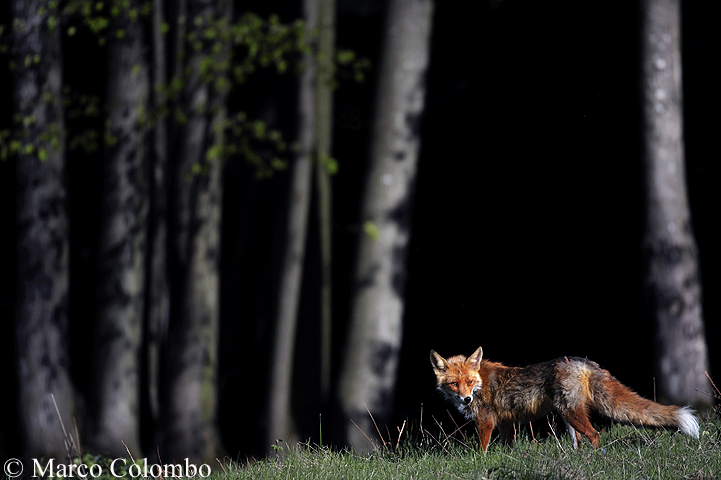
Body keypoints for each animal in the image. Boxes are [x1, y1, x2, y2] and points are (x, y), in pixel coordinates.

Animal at [428, 346, 696, 452]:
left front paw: (481, 462)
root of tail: (582, 361)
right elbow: (507, 447)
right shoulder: (506, 422)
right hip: (567, 417)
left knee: (594, 435)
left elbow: (482, 451)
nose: (465, 400)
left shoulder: (485, 421)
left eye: (469, 382)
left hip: (570, 412)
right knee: (579, 440)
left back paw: (594, 460)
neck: (481, 382)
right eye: (454, 383)